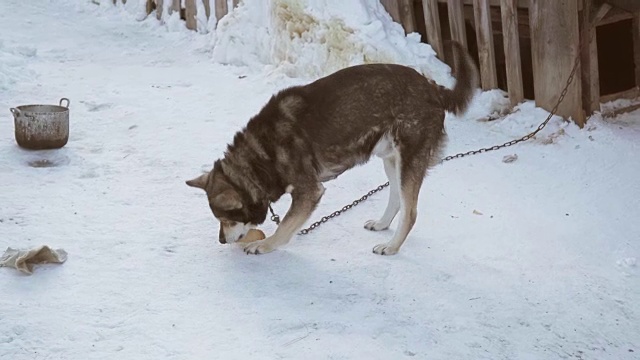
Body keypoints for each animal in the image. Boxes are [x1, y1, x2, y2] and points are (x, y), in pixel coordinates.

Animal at [184, 40, 476, 255]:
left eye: (226, 219)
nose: (222, 241)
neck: (261, 155)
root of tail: (432, 87)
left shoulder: (309, 191)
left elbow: (285, 226)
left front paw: (265, 245)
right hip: (391, 159)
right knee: (396, 198)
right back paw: (382, 224)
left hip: (408, 160)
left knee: (411, 212)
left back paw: (392, 247)